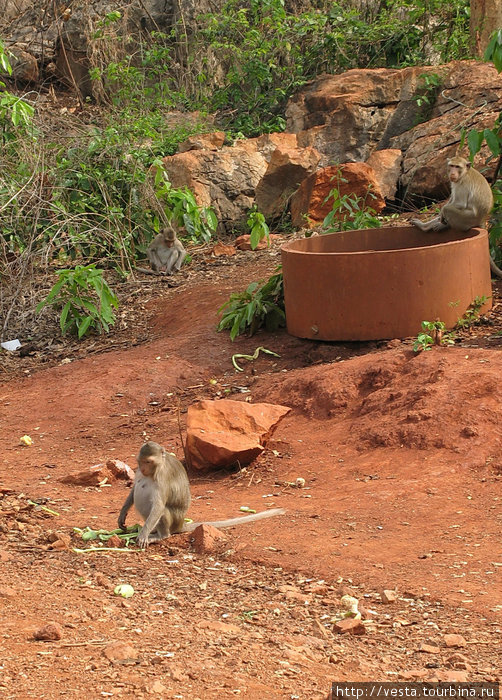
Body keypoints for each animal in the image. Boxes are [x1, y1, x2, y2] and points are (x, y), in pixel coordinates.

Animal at [115, 440, 284, 548]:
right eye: (141, 461)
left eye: (149, 461)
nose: (143, 469)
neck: (154, 470)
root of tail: (181, 524)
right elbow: (134, 491)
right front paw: (122, 514)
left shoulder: (163, 477)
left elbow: (159, 505)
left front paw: (143, 535)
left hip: (174, 521)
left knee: (164, 511)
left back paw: (160, 535)